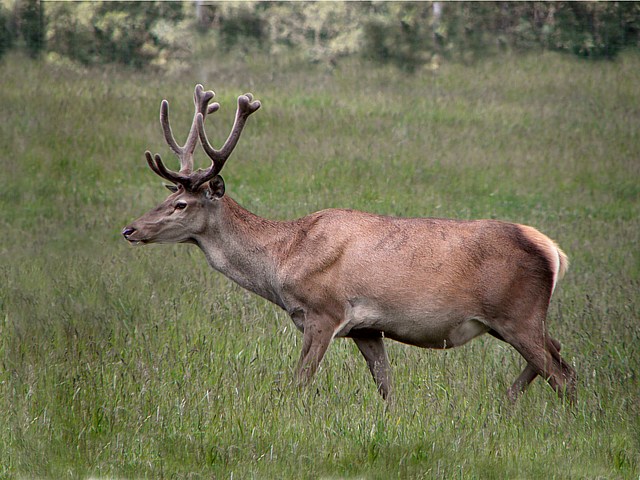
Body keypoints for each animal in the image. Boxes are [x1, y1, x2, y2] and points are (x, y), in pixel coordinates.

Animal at [122, 84, 576, 404]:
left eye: (180, 204)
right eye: (166, 197)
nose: (130, 229)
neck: (283, 258)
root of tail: (554, 252)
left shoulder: (324, 310)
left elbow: (300, 382)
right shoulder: (368, 328)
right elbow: (386, 387)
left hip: (517, 312)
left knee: (562, 372)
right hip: (515, 319)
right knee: (555, 355)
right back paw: (507, 401)